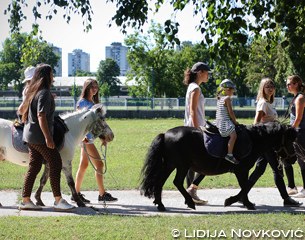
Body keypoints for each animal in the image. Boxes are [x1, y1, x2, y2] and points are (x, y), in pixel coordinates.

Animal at [141, 123, 296, 211]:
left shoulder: (243, 171)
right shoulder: (241, 170)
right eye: (290, 140)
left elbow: (246, 186)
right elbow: (245, 187)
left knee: (160, 182)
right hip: (181, 166)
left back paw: (161, 204)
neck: (253, 139)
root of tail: (165, 134)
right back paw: (189, 202)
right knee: (177, 182)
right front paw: (237, 201)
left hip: (171, 165)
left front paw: (244, 202)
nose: (294, 158)